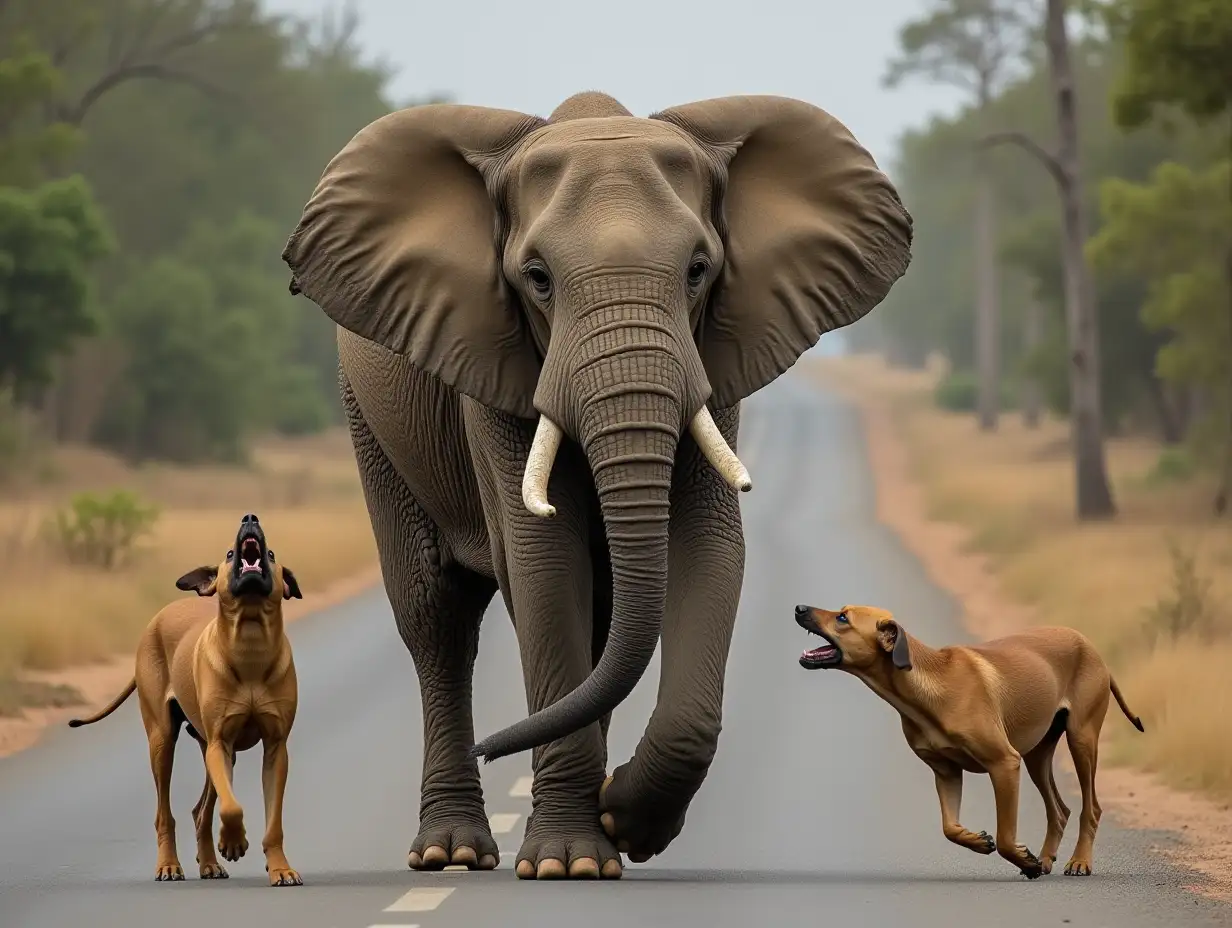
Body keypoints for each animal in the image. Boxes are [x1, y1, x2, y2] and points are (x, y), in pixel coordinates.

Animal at [70, 515, 305, 882]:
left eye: (271, 553)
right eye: (228, 554)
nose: (250, 518)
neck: (250, 644)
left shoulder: (275, 748)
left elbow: (272, 820)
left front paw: (279, 867)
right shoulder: (220, 743)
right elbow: (231, 806)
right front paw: (234, 842)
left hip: (210, 746)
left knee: (201, 811)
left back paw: (209, 861)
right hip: (163, 741)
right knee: (166, 812)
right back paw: (169, 864)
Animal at [283, 90, 911, 877]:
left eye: (698, 270)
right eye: (537, 278)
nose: (495, 750)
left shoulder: (714, 355)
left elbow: (710, 550)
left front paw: (623, 822)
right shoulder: (493, 363)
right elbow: (544, 566)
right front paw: (566, 862)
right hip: (369, 421)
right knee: (437, 618)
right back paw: (449, 853)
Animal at [793, 603, 1138, 877]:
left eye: (842, 617)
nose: (799, 608)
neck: (928, 685)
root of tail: (1090, 646)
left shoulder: (1004, 764)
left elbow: (1006, 839)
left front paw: (1022, 860)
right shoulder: (946, 771)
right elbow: (949, 829)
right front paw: (978, 841)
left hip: (1081, 740)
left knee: (1091, 808)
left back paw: (1079, 861)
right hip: (1036, 755)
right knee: (1060, 809)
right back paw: (1045, 859)